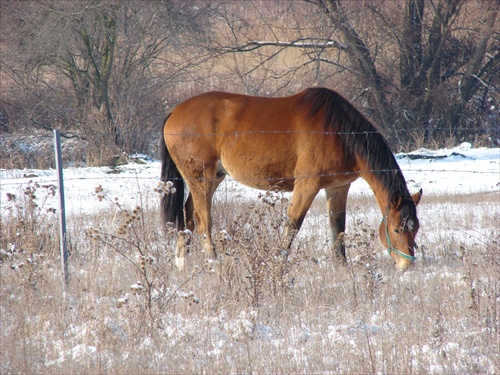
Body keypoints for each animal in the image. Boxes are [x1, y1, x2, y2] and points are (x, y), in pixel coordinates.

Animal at [160, 88, 422, 270]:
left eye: (416, 227)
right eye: (397, 229)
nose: (408, 264)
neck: (338, 131)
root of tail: (174, 113)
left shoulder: (338, 187)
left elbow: (337, 229)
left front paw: (342, 268)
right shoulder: (307, 185)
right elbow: (291, 227)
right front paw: (278, 263)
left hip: (212, 179)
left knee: (187, 220)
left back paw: (182, 265)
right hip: (201, 180)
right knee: (203, 223)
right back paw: (215, 264)